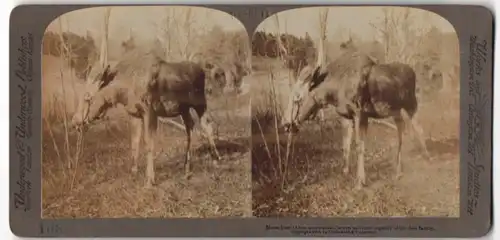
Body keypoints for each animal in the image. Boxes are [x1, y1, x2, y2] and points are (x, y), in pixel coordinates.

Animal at [71, 55, 225, 188]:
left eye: (88, 97)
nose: (75, 121)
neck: (122, 92)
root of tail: (204, 70)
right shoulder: (135, 114)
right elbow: (134, 143)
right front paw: (133, 174)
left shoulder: (149, 111)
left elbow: (148, 144)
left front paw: (149, 180)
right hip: (184, 109)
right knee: (190, 126)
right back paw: (187, 169)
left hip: (200, 102)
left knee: (207, 124)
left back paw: (216, 160)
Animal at [282, 38, 430, 190]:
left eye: (297, 97)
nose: (285, 123)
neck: (333, 92)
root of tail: (413, 73)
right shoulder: (346, 116)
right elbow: (346, 144)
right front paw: (345, 172)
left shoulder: (360, 114)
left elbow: (359, 146)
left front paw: (360, 181)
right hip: (396, 111)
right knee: (402, 132)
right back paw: (399, 170)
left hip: (411, 104)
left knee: (418, 127)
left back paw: (426, 158)